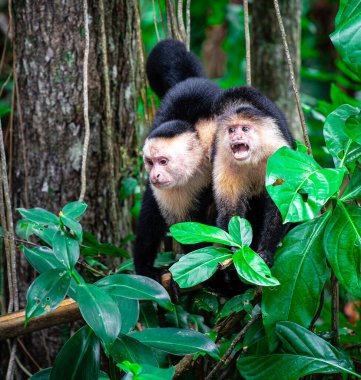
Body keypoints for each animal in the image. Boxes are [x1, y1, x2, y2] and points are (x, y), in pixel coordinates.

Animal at [134, 40, 221, 280]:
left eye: (163, 161)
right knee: (151, 206)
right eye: (150, 162)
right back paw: (144, 266)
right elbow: (187, 227)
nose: (155, 175)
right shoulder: (170, 188)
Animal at [212, 87, 294, 264]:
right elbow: (231, 207)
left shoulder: (278, 152)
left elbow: (280, 205)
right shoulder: (222, 159)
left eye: (244, 129)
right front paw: (235, 247)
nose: (236, 137)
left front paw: (266, 251)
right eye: (231, 130)